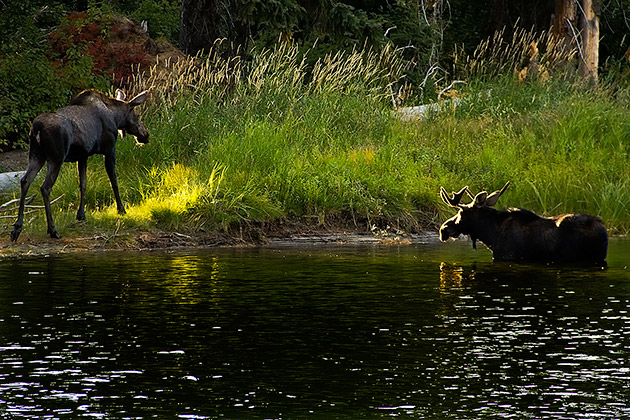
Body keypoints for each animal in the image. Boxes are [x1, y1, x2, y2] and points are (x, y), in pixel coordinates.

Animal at [10, 88, 149, 241]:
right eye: (137, 114)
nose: (146, 134)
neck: (115, 118)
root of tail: (37, 129)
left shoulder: (83, 156)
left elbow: (83, 184)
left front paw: (81, 214)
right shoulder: (110, 150)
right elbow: (114, 181)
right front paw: (121, 209)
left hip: (36, 156)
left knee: (25, 180)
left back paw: (17, 228)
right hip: (56, 158)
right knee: (45, 187)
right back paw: (52, 229)